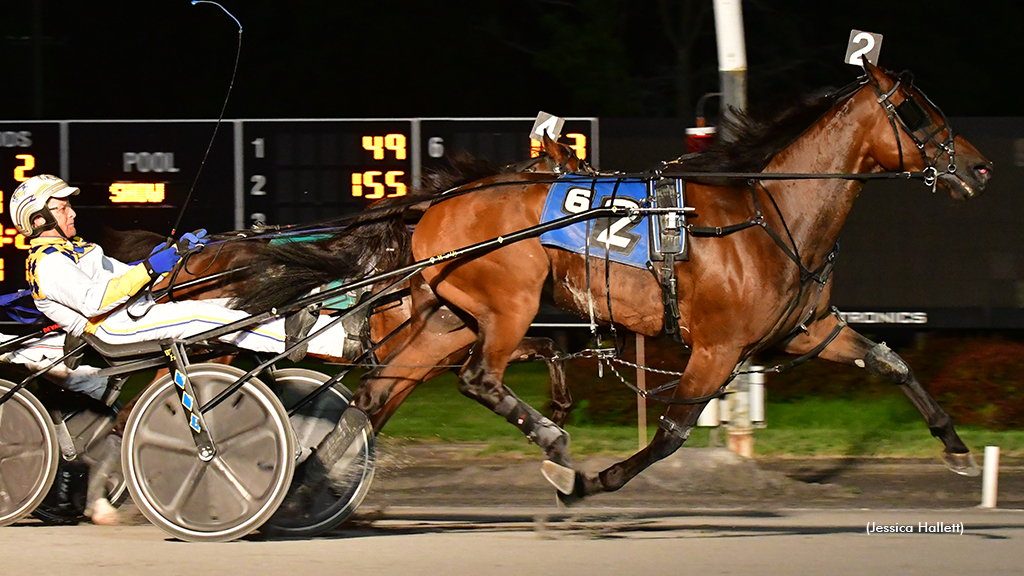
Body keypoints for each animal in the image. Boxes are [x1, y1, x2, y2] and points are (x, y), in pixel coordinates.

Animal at [344, 65, 991, 500]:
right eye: (916, 111)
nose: (979, 166)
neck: (770, 211)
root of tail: (439, 203)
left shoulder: (806, 329)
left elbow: (890, 362)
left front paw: (957, 449)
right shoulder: (719, 345)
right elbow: (674, 431)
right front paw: (589, 481)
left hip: (450, 317)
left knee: (377, 392)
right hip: (509, 305)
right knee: (477, 378)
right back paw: (551, 440)